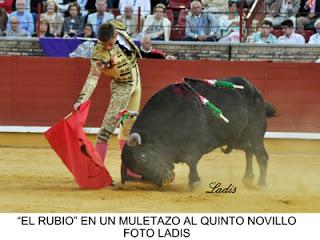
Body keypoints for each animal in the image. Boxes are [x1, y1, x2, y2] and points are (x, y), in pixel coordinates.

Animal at [120, 77, 276, 189]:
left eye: (143, 157)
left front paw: (194, 182)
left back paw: (262, 184)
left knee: (261, 155)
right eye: (138, 168)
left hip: (255, 132)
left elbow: (192, 161)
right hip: (239, 137)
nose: (166, 180)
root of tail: (254, 90)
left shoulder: (194, 144)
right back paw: (248, 178)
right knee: (249, 150)